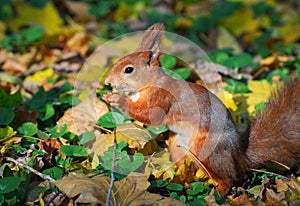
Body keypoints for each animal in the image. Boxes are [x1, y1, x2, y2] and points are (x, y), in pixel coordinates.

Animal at [102, 23, 300, 195]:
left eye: (129, 70)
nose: (108, 82)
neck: (151, 83)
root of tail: (240, 157)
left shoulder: (162, 97)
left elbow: (151, 116)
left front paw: (118, 99)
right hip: (178, 145)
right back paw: (183, 182)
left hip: (208, 150)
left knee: (231, 179)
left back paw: (216, 193)